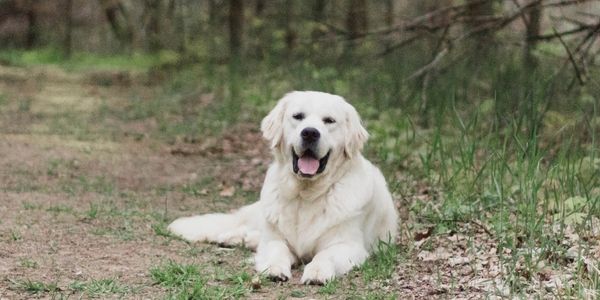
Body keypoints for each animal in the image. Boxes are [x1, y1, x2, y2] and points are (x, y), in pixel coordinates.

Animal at [168, 91, 398, 284]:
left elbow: (325, 255)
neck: (305, 195)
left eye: (329, 121)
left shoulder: (347, 245)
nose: (310, 133)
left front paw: (317, 272)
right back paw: (231, 237)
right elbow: (276, 250)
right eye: (298, 116)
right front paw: (273, 269)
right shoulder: (275, 239)